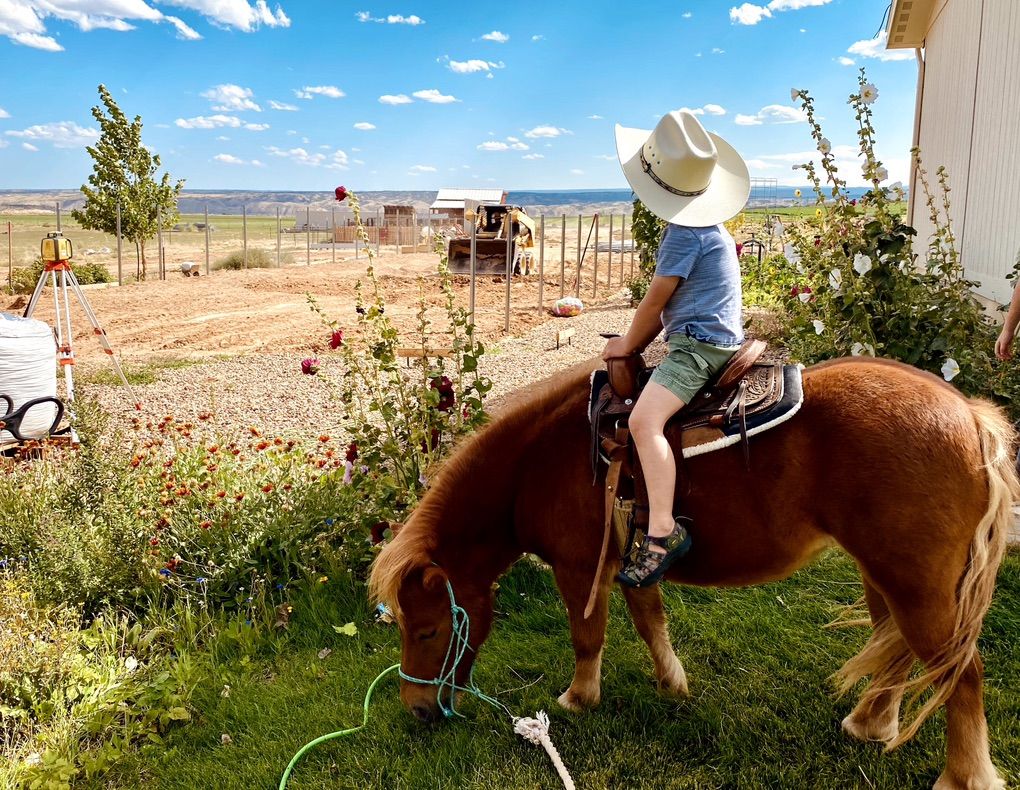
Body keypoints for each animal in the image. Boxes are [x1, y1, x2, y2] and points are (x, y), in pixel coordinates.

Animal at [369, 356, 1017, 790]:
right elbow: (650, 623)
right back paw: (870, 724)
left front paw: (579, 698)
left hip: (916, 584)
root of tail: (970, 416)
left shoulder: (579, 571)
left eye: (427, 630)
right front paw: (672, 684)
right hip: (889, 577)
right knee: (898, 651)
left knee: (960, 674)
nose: (417, 709)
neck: (536, 465)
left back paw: (964, 776)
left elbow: (588, 638)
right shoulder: (630, 564)